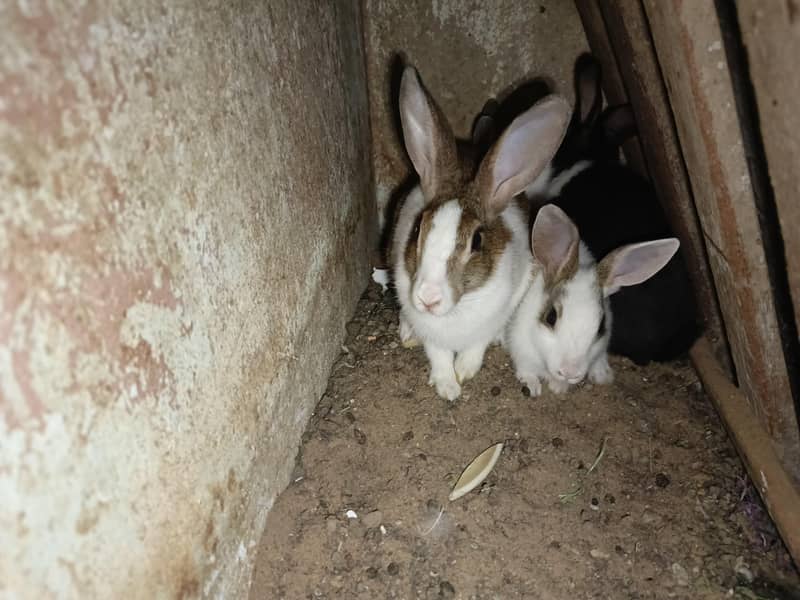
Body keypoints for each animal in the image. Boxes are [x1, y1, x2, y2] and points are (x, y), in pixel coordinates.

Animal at [389, 65, 570, 400]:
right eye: (418, 228)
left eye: (476, 241)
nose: (428, 298)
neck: (456, 310)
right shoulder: (430, 331)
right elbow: (438, 354)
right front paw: (448, 386)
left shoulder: (499, 311)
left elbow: (476, 345)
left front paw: (465, 370)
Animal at [506, 204, 680, 396]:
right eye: (550, 317)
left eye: (601, 328)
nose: (569, 372)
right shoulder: (521, 347)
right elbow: (526, 370)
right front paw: (533, 386)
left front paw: (559, 387)